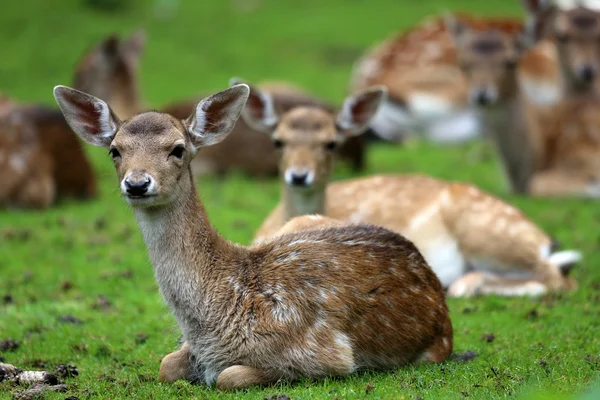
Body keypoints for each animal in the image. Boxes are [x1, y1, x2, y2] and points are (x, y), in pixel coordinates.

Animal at [54, 83, 452, 388]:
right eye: (114, 150)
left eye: (178, 149)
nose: (137, 183)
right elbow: (166, 364)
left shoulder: (325, 352)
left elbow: (229, 376)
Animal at [245, 83, 580, 298]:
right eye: (277, 141)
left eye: (331, 143)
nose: (299, 176)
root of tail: (541, 237)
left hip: (488, 232)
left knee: (557, 278)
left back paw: (464, 285)